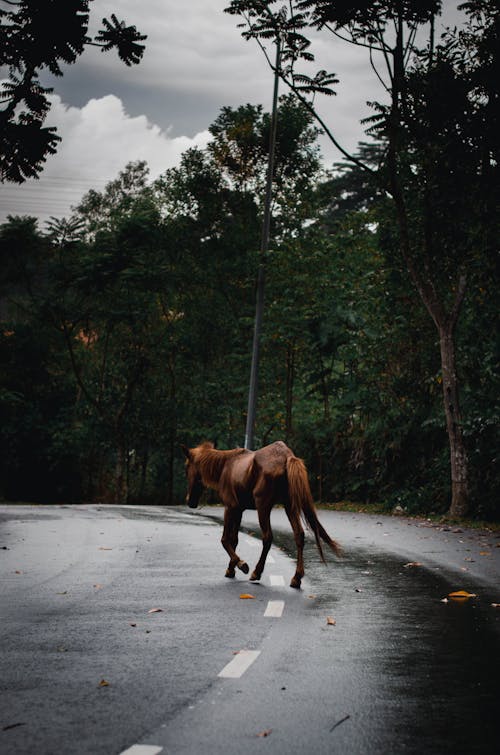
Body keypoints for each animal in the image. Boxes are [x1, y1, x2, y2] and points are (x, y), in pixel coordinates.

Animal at [180, 442, 340, 592]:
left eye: (187, 468)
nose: (190, 501)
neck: (223, 467)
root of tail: (288, 457)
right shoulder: (239, 509)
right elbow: (234, 540)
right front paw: (231, 568)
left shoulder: (230, 507)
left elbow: (225, 539)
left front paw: (241, 564)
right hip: (289, 505)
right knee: (299, 534)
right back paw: (296, 578)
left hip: (263, 506)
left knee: (267, 537)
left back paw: (257, 572)